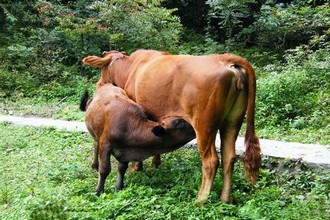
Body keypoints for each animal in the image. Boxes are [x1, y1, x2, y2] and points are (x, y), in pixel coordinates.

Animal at [82, 49, 260, 204]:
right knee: (229, 157)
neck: (131, 68)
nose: (99, 84)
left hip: (204, 126)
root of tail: (226, 59)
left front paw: (136, 167)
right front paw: (155, 164)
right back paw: (225, 199)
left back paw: (201, 200)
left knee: (211, 161)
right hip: (232, 121)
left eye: (102, 69)